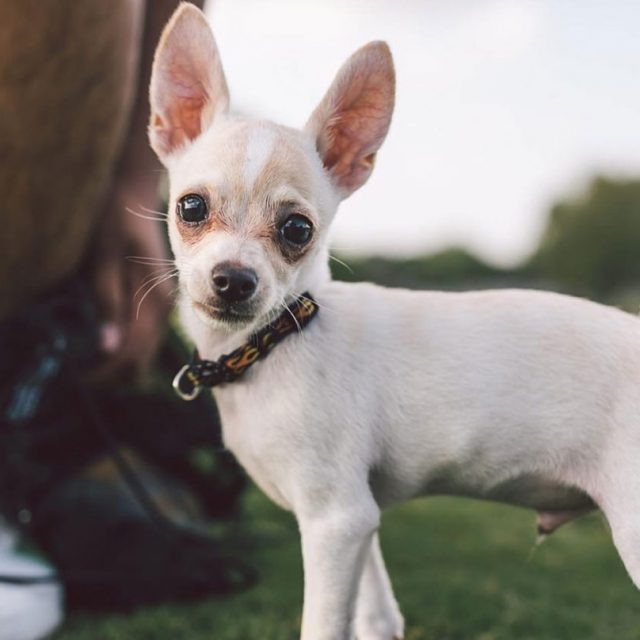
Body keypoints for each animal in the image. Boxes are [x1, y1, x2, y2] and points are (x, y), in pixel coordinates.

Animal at [148, 6, 640, 640]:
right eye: (191, 208)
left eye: (297, 230)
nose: (234, 279)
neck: (271, 346)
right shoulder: (361, 520)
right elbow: (376, 616)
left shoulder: (335, 520)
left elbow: (321, 624)